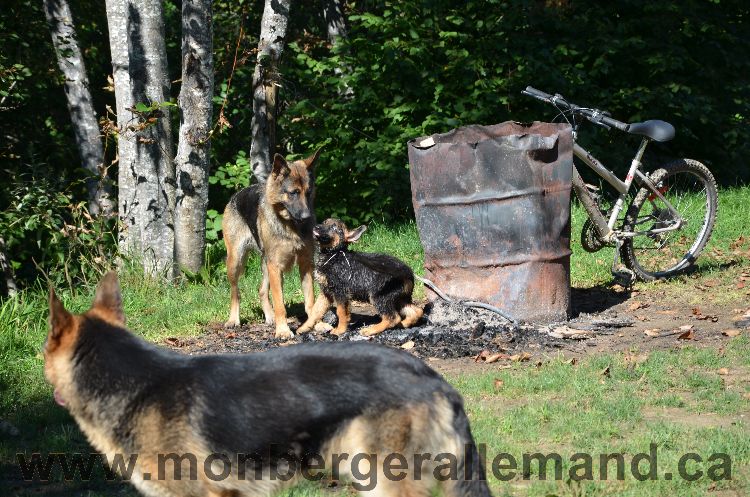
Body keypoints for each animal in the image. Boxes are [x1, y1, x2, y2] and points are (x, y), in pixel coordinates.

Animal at [220, 149, 320, 340]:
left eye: (308, 192)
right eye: (294, 192)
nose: (306, 217)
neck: (290, 227)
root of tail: (236, 195)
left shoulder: (305, 265)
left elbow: (310, 302)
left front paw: (317, 325)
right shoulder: (276, 266)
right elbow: (280, 304)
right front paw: (283, 330)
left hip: (266, 265)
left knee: (261, 290)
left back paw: (269, 316)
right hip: (236, 262)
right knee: (235, 292)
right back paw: (233, 319)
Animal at [296, 219, 424, 336]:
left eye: (334, 228)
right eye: (324, 222)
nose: (316, 227)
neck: (334, 254)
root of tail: (408, 271)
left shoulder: (340, 292)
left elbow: (341, 312)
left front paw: (340, 330)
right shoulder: (326, 293)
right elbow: (315, 312)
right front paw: (304, 328)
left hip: (379, 296)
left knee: (392, 317)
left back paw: (370, 330)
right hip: (397, 297)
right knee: (417, 311)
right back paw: (404, 324)